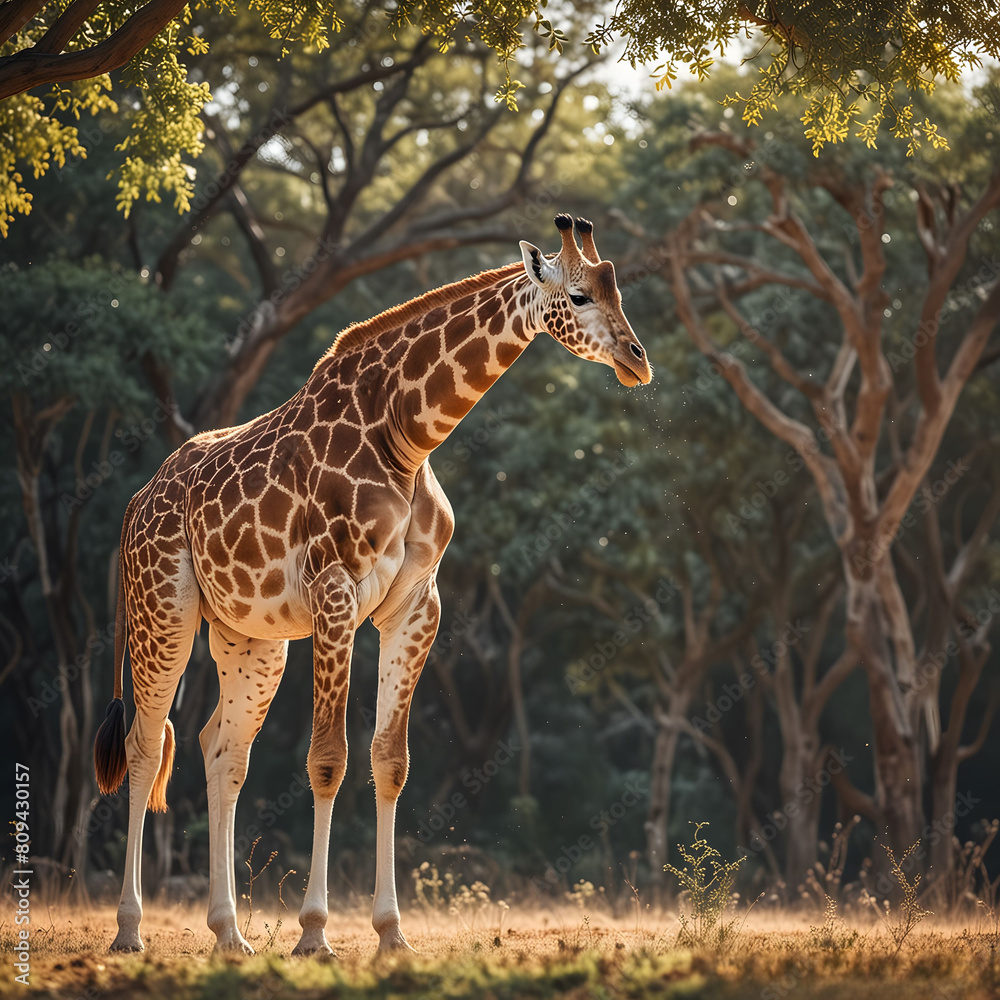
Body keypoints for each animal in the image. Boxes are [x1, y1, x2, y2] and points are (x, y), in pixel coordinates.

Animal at [93, 213, 652, 957]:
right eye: (582, 295)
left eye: (618, 291)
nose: (638, 359)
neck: (406, 435)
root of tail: (136, 502)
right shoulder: (335, 590)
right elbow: (328, 758)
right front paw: (314, 934)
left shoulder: (416, 607)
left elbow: (391, 760)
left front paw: (391, 933)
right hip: (163, 609)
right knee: (145, 743)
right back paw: (130, 931)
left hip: (250, 636)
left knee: (222, 750)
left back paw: (229, 935)